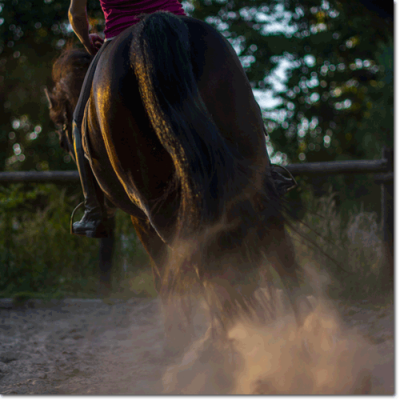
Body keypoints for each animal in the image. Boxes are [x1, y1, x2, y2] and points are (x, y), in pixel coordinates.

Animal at [48, 11, 310, 338]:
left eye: (60, 127)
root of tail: (150, 27)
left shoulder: (141, 219)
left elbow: (166, 279)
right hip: (248, 168)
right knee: (276, 248)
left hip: (159, 204)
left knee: (203, 265)